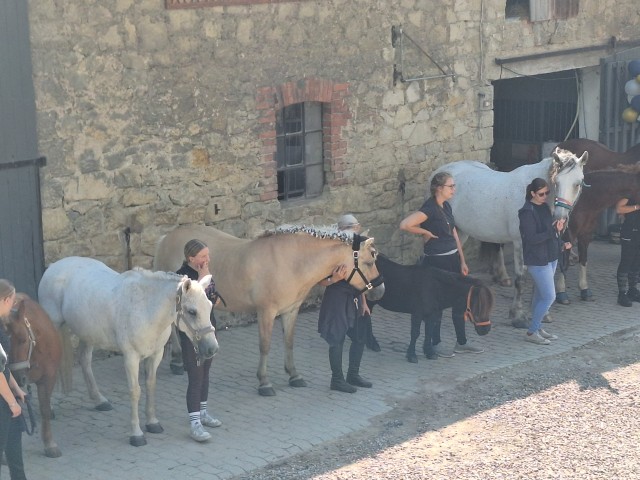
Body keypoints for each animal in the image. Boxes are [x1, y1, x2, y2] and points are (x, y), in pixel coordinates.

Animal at [2, 292, 63, 458]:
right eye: (4, 344)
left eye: (23, 340)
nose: (17, 378)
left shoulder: (48, 378)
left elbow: (44, 408)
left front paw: (50, 444)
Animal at [37, 256, 219, 448]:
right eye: (192, 311)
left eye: (209, 306)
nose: (212, 348)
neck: (145, 309)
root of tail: (54, 266)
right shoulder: (131, 358)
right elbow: (135, 391)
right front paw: (136, 434)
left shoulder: (155, 355)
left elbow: (150, 385)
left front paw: (152, 423)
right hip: (54, 327)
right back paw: (50, 409)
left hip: (88, 333)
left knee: (85, 360)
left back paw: (99, 400)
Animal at [155, 225, 384, 398]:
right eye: (369, 261)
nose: (379, 291)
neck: (291, 262)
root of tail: (166, 238)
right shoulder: (266, 312)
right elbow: (265, 346)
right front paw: (264, 383)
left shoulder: (291, 310)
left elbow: (289, 342)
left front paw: (294, 375)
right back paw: (177, 361)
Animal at [432, 146, 588, 326]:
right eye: (557, 182)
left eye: (578, 183)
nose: (560, 219)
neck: (533, 199)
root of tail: (440, 171)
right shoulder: (520, 244)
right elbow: (520, 279)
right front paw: (517, 316)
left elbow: (541, 279)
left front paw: (542, 314)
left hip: (461, 232)